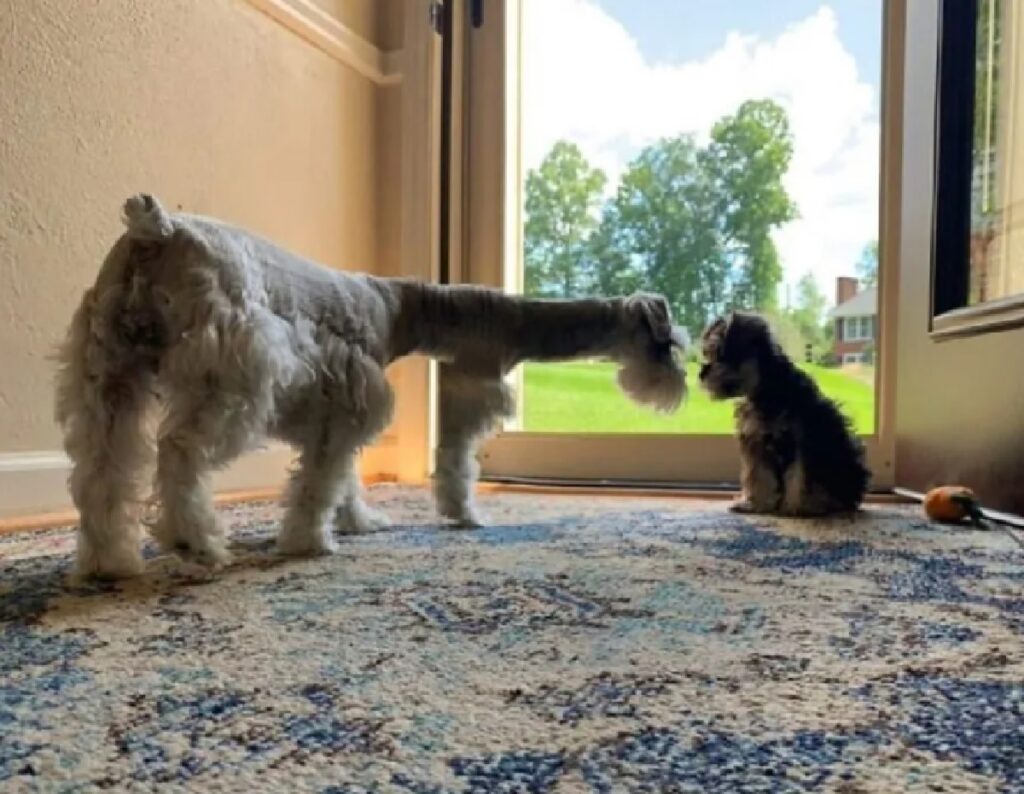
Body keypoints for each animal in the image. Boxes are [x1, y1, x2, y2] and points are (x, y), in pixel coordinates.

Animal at [56, 192, 688, 577]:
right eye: (669, 339)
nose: (681, 386)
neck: (404, 309)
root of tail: (155, 230)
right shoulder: (357, 402)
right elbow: (326, 481)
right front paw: (309, 542)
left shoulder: (341, 413)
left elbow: (341, 476)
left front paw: (356, 522)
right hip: (228, 387)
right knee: (178, 454)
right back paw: (196, 540)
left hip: (109, 383)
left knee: (102, 475)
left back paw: (111, 560)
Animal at [700, 311, 868, 516]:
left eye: (719, 353)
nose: (701, 375)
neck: (767, 390)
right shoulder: (755, 442)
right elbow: (758, 476)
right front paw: (755, 503)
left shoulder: (804, 442)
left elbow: (801, 476)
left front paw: (798, 506)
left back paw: (825, 502)